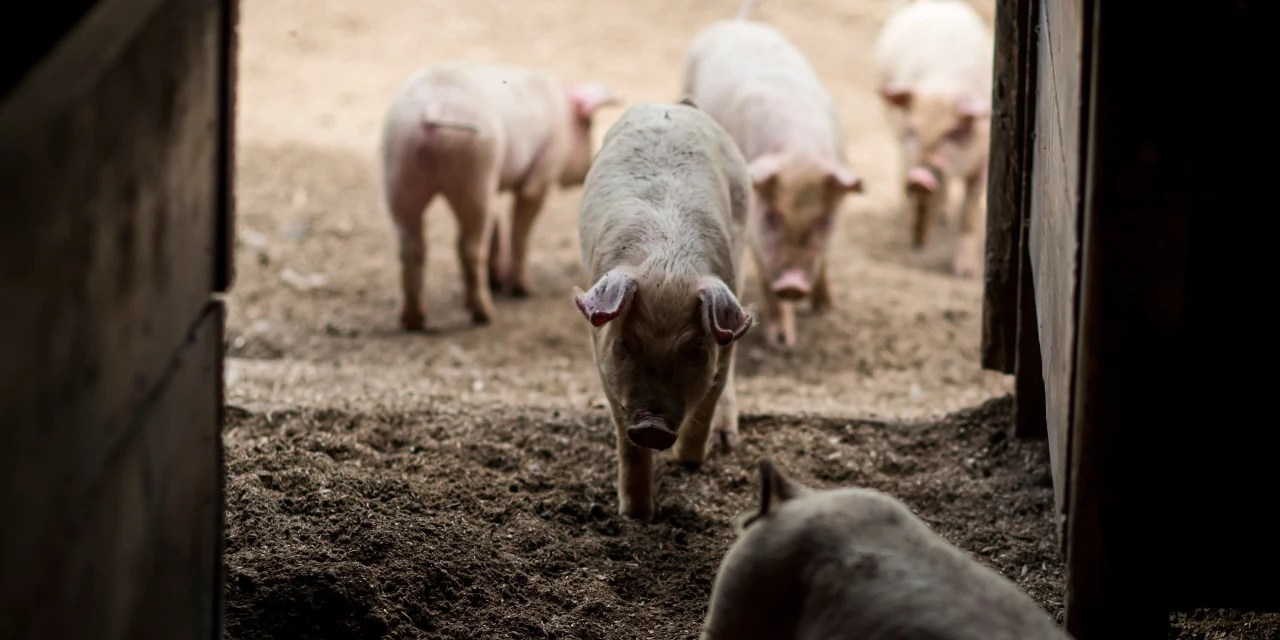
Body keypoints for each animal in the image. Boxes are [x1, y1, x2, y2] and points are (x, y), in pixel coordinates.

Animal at [380, 62, 619, 331]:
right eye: (588, 125)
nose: (584, 173)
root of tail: (434, 105)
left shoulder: (492, 186)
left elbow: (495, 224)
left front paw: (498, 282)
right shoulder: (543, 170)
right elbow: (521, 229)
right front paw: (522, 290)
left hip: (399, 165)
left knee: (410, 246)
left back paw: (413, 321)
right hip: (474, 164)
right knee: (469, 247)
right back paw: (485, 314)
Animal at [574, 100, 754, 521]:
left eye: (695, 349)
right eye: (624, 343)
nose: (652, 425)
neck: (667, 266)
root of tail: (674, 106)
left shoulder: (721, 351)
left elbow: (707, 402)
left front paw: (688, 462)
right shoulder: (602, 360)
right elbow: (627, 442)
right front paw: (636, 515)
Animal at [681, 0, 865, 349]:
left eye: (824, 221)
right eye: (771, 217)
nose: (793, 283)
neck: (799, 154)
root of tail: (737, 24)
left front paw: (827, 308)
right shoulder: (754, 231)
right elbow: (766, 276)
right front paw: (781, 341)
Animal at [873, 0, 994, 278]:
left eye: (954, 132)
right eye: (912, 129)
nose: (920, 179)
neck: (943, 86)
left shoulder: (983, 162)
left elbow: (969, 213)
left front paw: (964, 273)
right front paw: (915, 244)